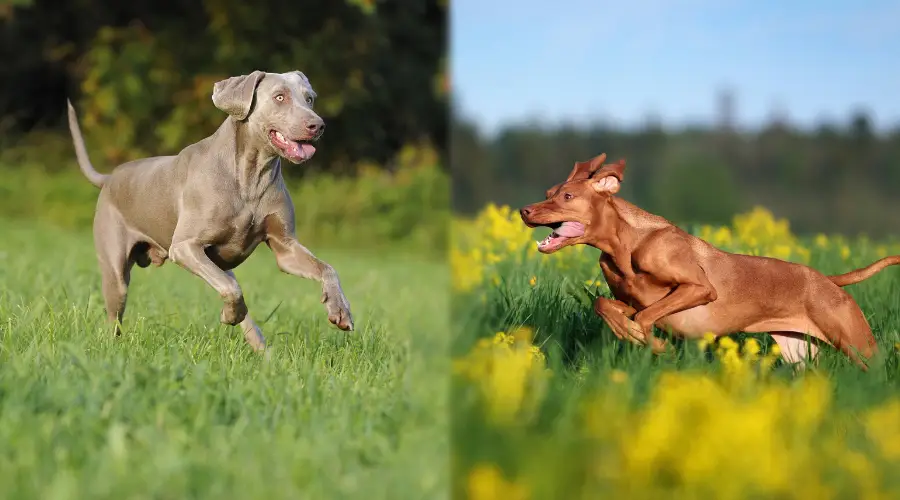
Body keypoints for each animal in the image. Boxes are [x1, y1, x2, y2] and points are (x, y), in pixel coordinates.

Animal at [67, 69, 354, 352]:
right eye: (279, 97)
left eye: (310, 99)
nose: (317, 125)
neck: (251, 175)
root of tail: (109, 178)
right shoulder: (185, 246)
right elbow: (232, 289)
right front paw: (229, 315)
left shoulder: (286, 248)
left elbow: (327, 268)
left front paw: (340, 310)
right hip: (116, 273)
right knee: (114, 317)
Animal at [520, 154, 900, 370]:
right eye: (549, 192)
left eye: (568, 196)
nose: (525, 210)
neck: (627, 244)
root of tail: (828, 281)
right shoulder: (631, 300)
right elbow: (605, 305)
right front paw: (633, 335)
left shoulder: (699, 288)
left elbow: (645, 319)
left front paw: (653, 343)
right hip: (800, 356)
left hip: (858, 346)